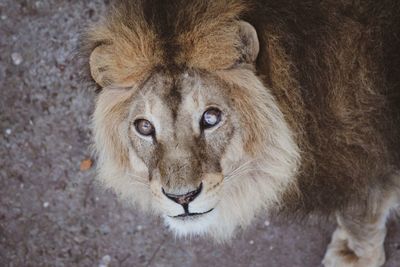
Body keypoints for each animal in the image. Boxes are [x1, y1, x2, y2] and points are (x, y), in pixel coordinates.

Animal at [80, 1, 400, 266]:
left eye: (211, 118)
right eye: (144, 127)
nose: (182, 198)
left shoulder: (365, 163)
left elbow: (360, 219)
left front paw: (355, 258)